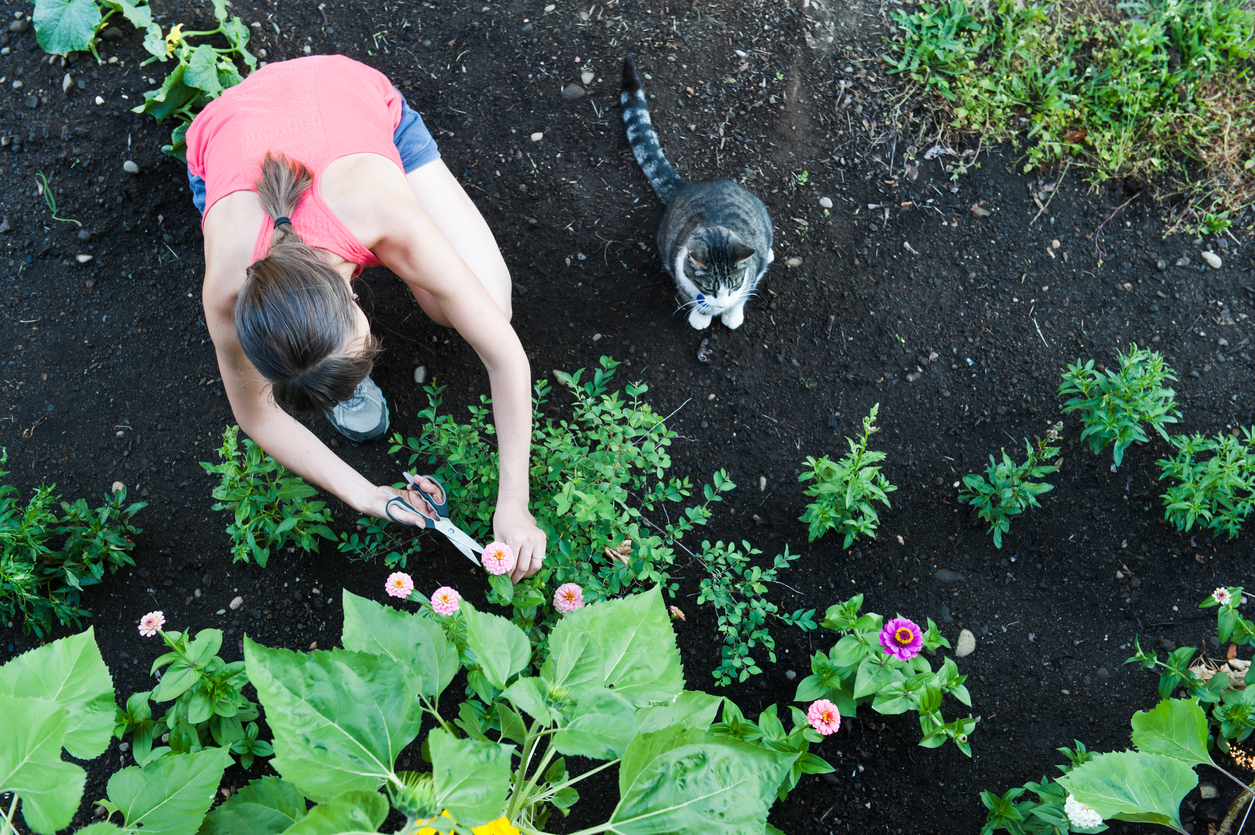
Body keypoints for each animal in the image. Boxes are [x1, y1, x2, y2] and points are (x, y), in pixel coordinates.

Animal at [619, 51, 773, 331]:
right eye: (709, 288)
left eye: (733, 285)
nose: (721, 304)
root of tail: (690, 186)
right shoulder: (679, 268)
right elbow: (690, 296)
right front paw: (701, 315)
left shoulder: (748, 273)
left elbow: (746, 291)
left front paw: (732, 313)